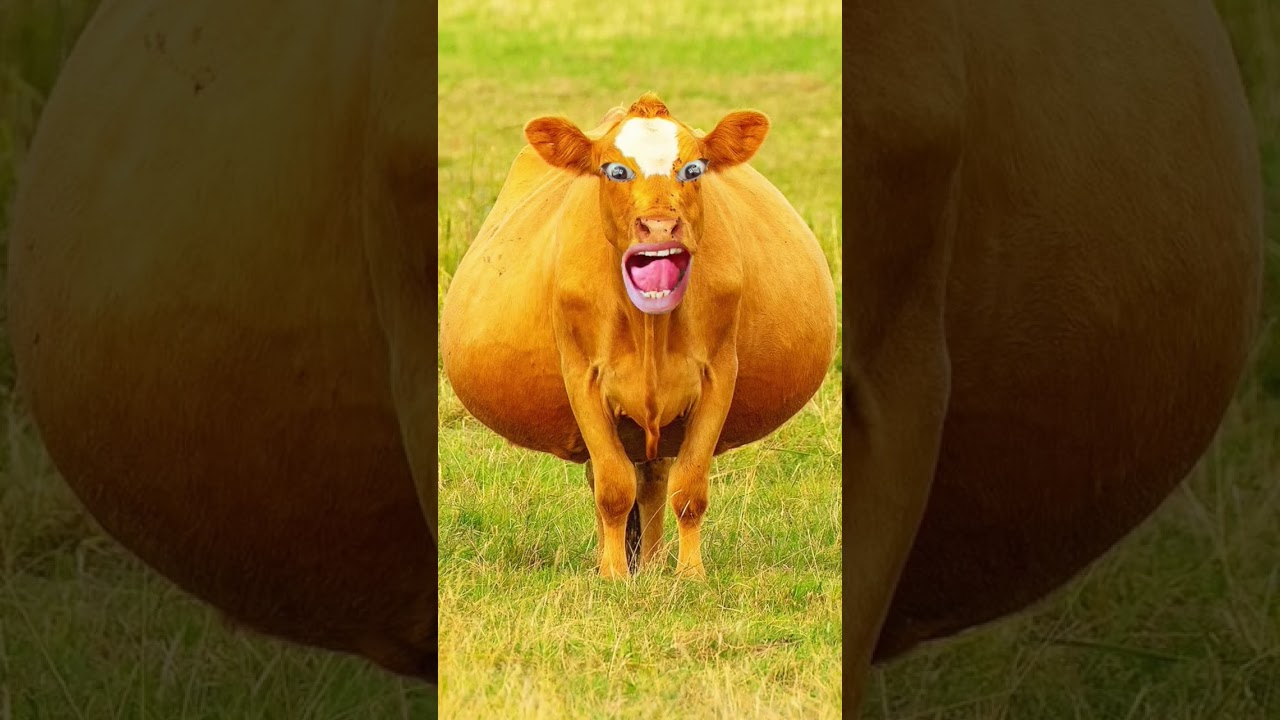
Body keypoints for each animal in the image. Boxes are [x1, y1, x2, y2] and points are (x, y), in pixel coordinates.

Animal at [439, 95, 840, 578]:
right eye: (615, 170)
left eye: (694, 169)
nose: (660, 226)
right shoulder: (583, 378)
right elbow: (612, 488)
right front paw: (612, 575)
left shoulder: (718, 375)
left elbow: (689, 489)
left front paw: (690, 575)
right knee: (615, 479)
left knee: (653, 481)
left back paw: (651, 564)